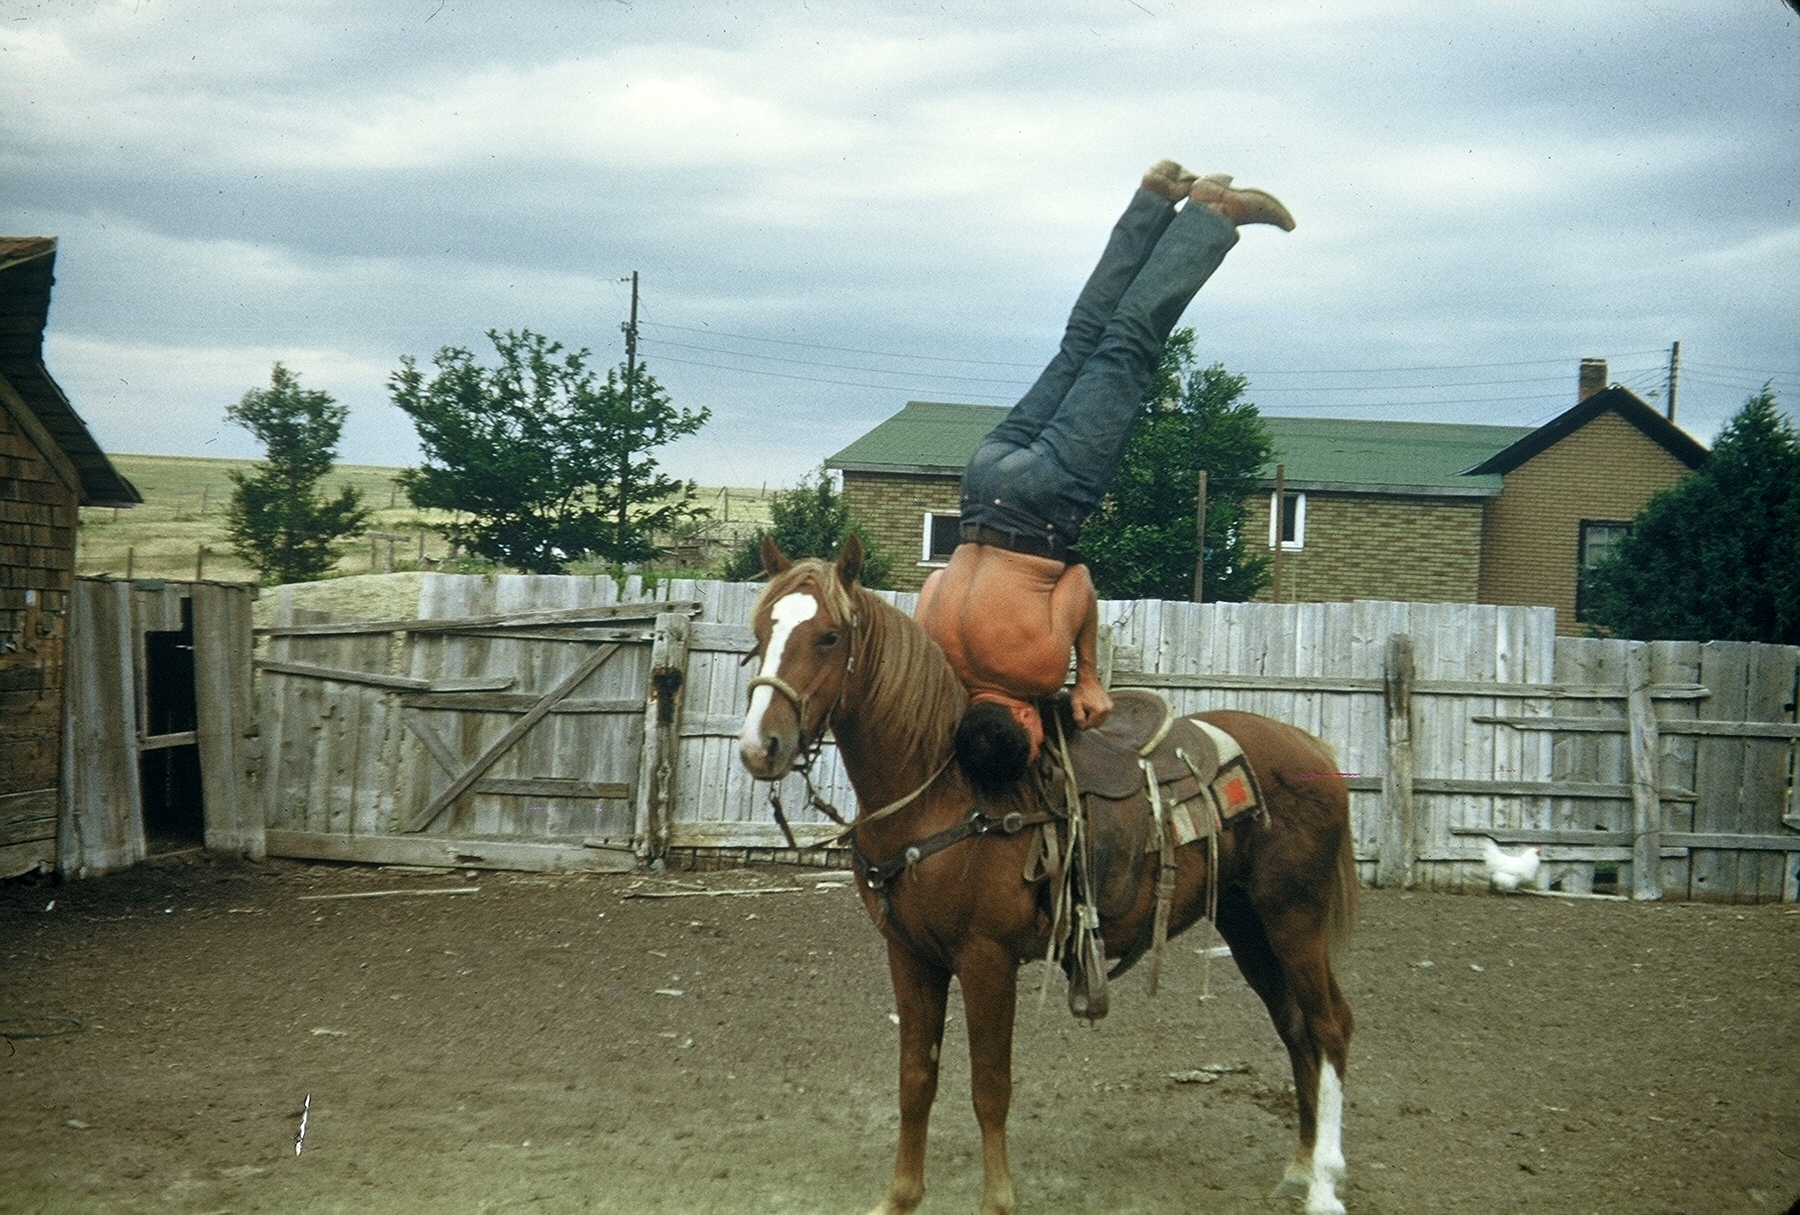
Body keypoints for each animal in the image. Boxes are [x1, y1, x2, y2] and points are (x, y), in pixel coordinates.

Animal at [736, 536, 1357, 1215]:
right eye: (760, 631)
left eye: (827, 637)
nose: (760, 747)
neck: (944, 792)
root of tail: (1311, 751)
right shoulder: (910, 955)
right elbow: (916, 1079)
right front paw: (900, 1197)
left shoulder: (986, 958)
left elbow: (990, 1086)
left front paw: (997, 1201)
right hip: (1248, 924)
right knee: (1294, 1027)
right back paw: (1298, 1169)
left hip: (1294, 918)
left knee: (1329, 1027)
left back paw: (1323, 1185)